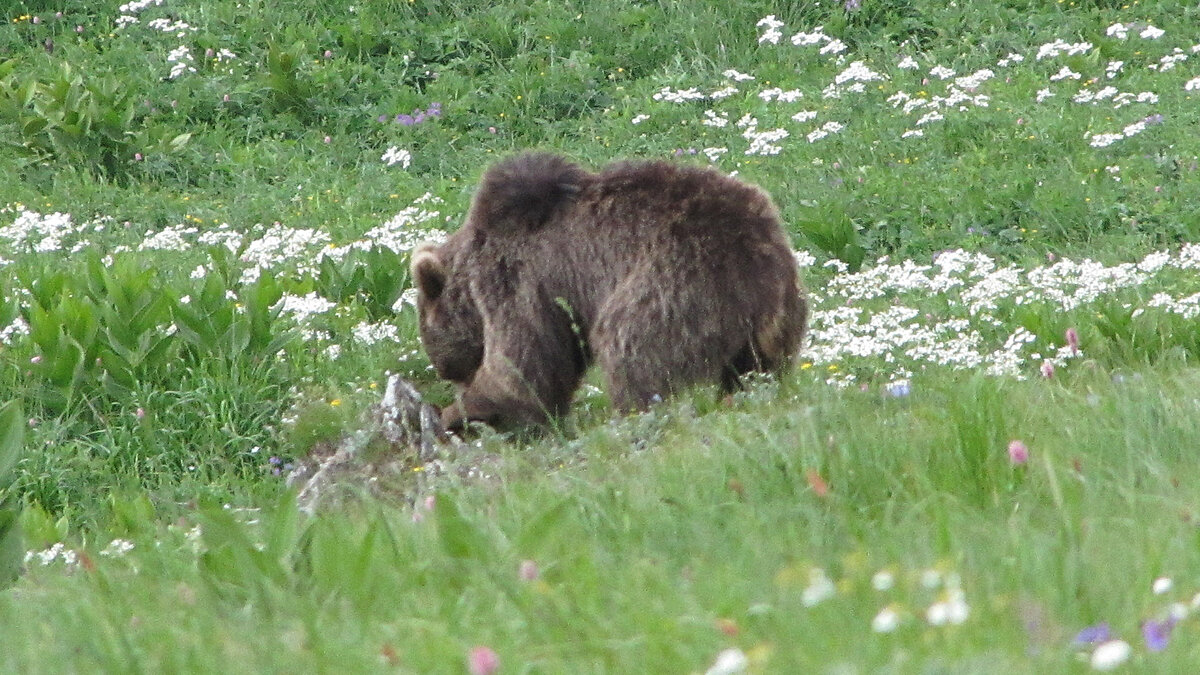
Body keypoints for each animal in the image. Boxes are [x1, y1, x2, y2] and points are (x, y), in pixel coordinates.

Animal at [410, 150, 806, 427]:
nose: (449, 376)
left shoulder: (518, 280)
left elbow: (520, 365)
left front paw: (458, 413)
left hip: (674, 285)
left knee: (630, 349)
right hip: (774, 317)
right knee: (757, 370)